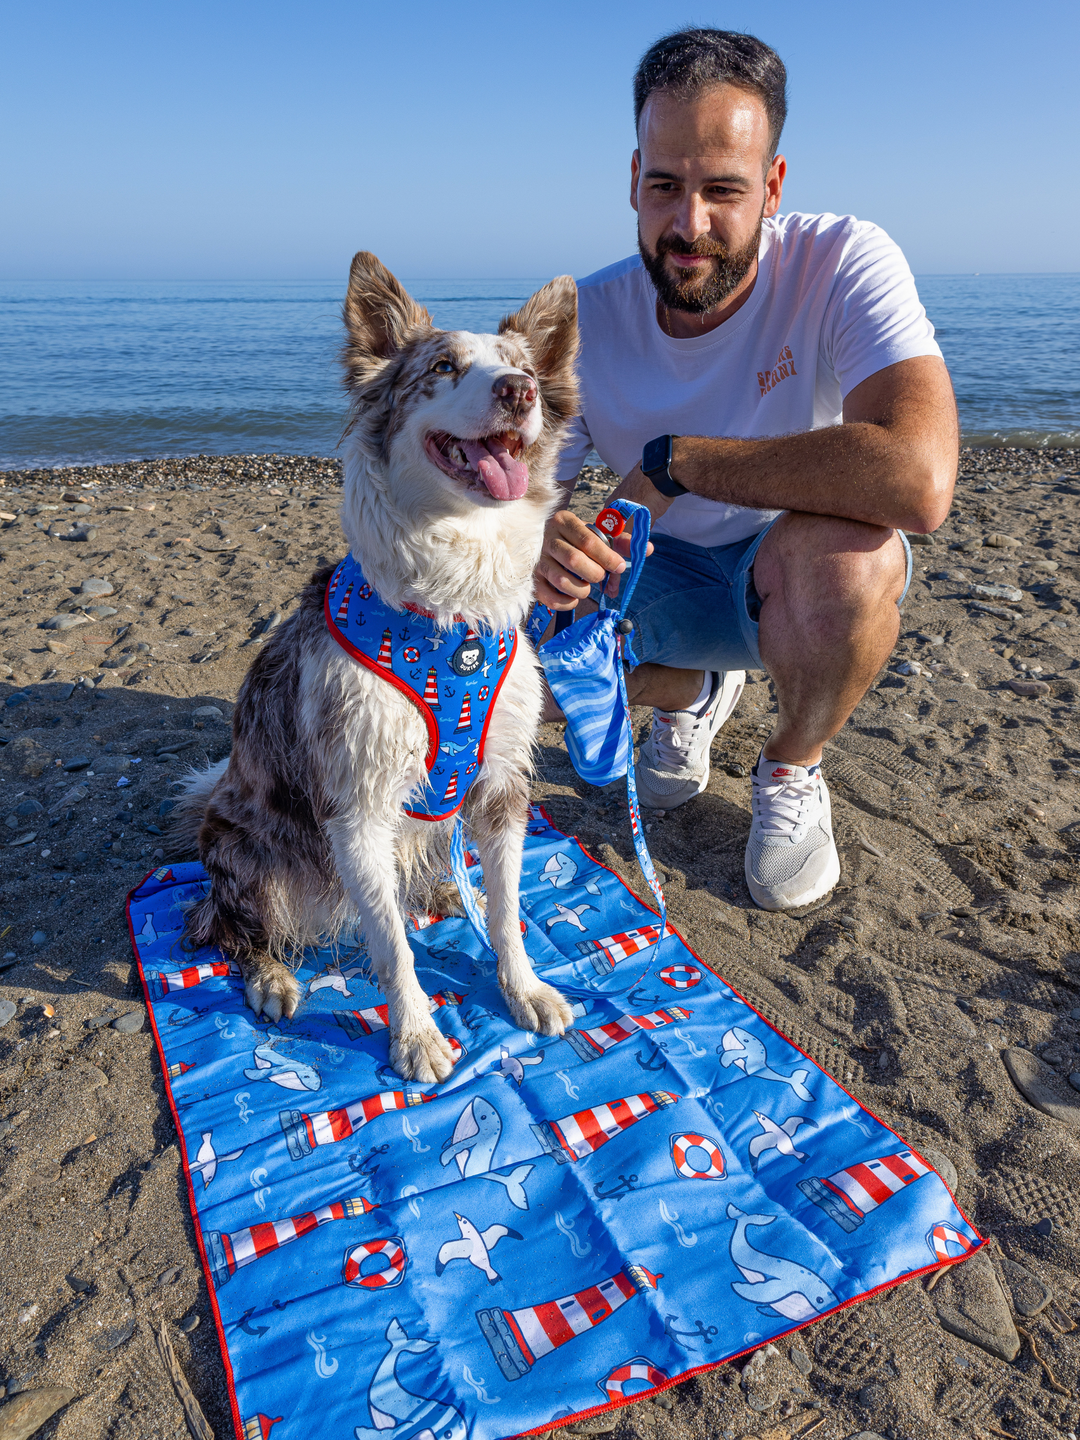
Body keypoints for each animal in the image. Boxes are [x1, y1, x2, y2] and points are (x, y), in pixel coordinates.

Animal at [175, 253, 584, 1082]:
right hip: (243, 847)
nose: (518, 392)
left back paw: (445, 892)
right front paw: (418, 1034)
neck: (452, 615)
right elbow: (393, 947)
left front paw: (523, 988)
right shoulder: (358, 803)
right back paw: (271, 975)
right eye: (443, 367)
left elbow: (507, 910)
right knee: (229, 923)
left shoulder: (502, 781)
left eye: (527, 369)